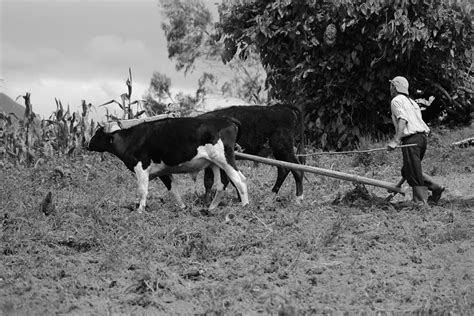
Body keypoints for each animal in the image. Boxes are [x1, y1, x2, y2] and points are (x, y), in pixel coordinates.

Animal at [86, 116, 248, 212]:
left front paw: (140, 210)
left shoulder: (141, 167)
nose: (87, 144)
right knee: (222, 183)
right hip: (215, 163)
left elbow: (142, 190)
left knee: (239, 179)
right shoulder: (162, 171)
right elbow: (173, 189)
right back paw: (211, 208)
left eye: (97, 134)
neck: (131, 139)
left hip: (224, 158)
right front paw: (183, 207)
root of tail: (226, 119)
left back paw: (245, 206)